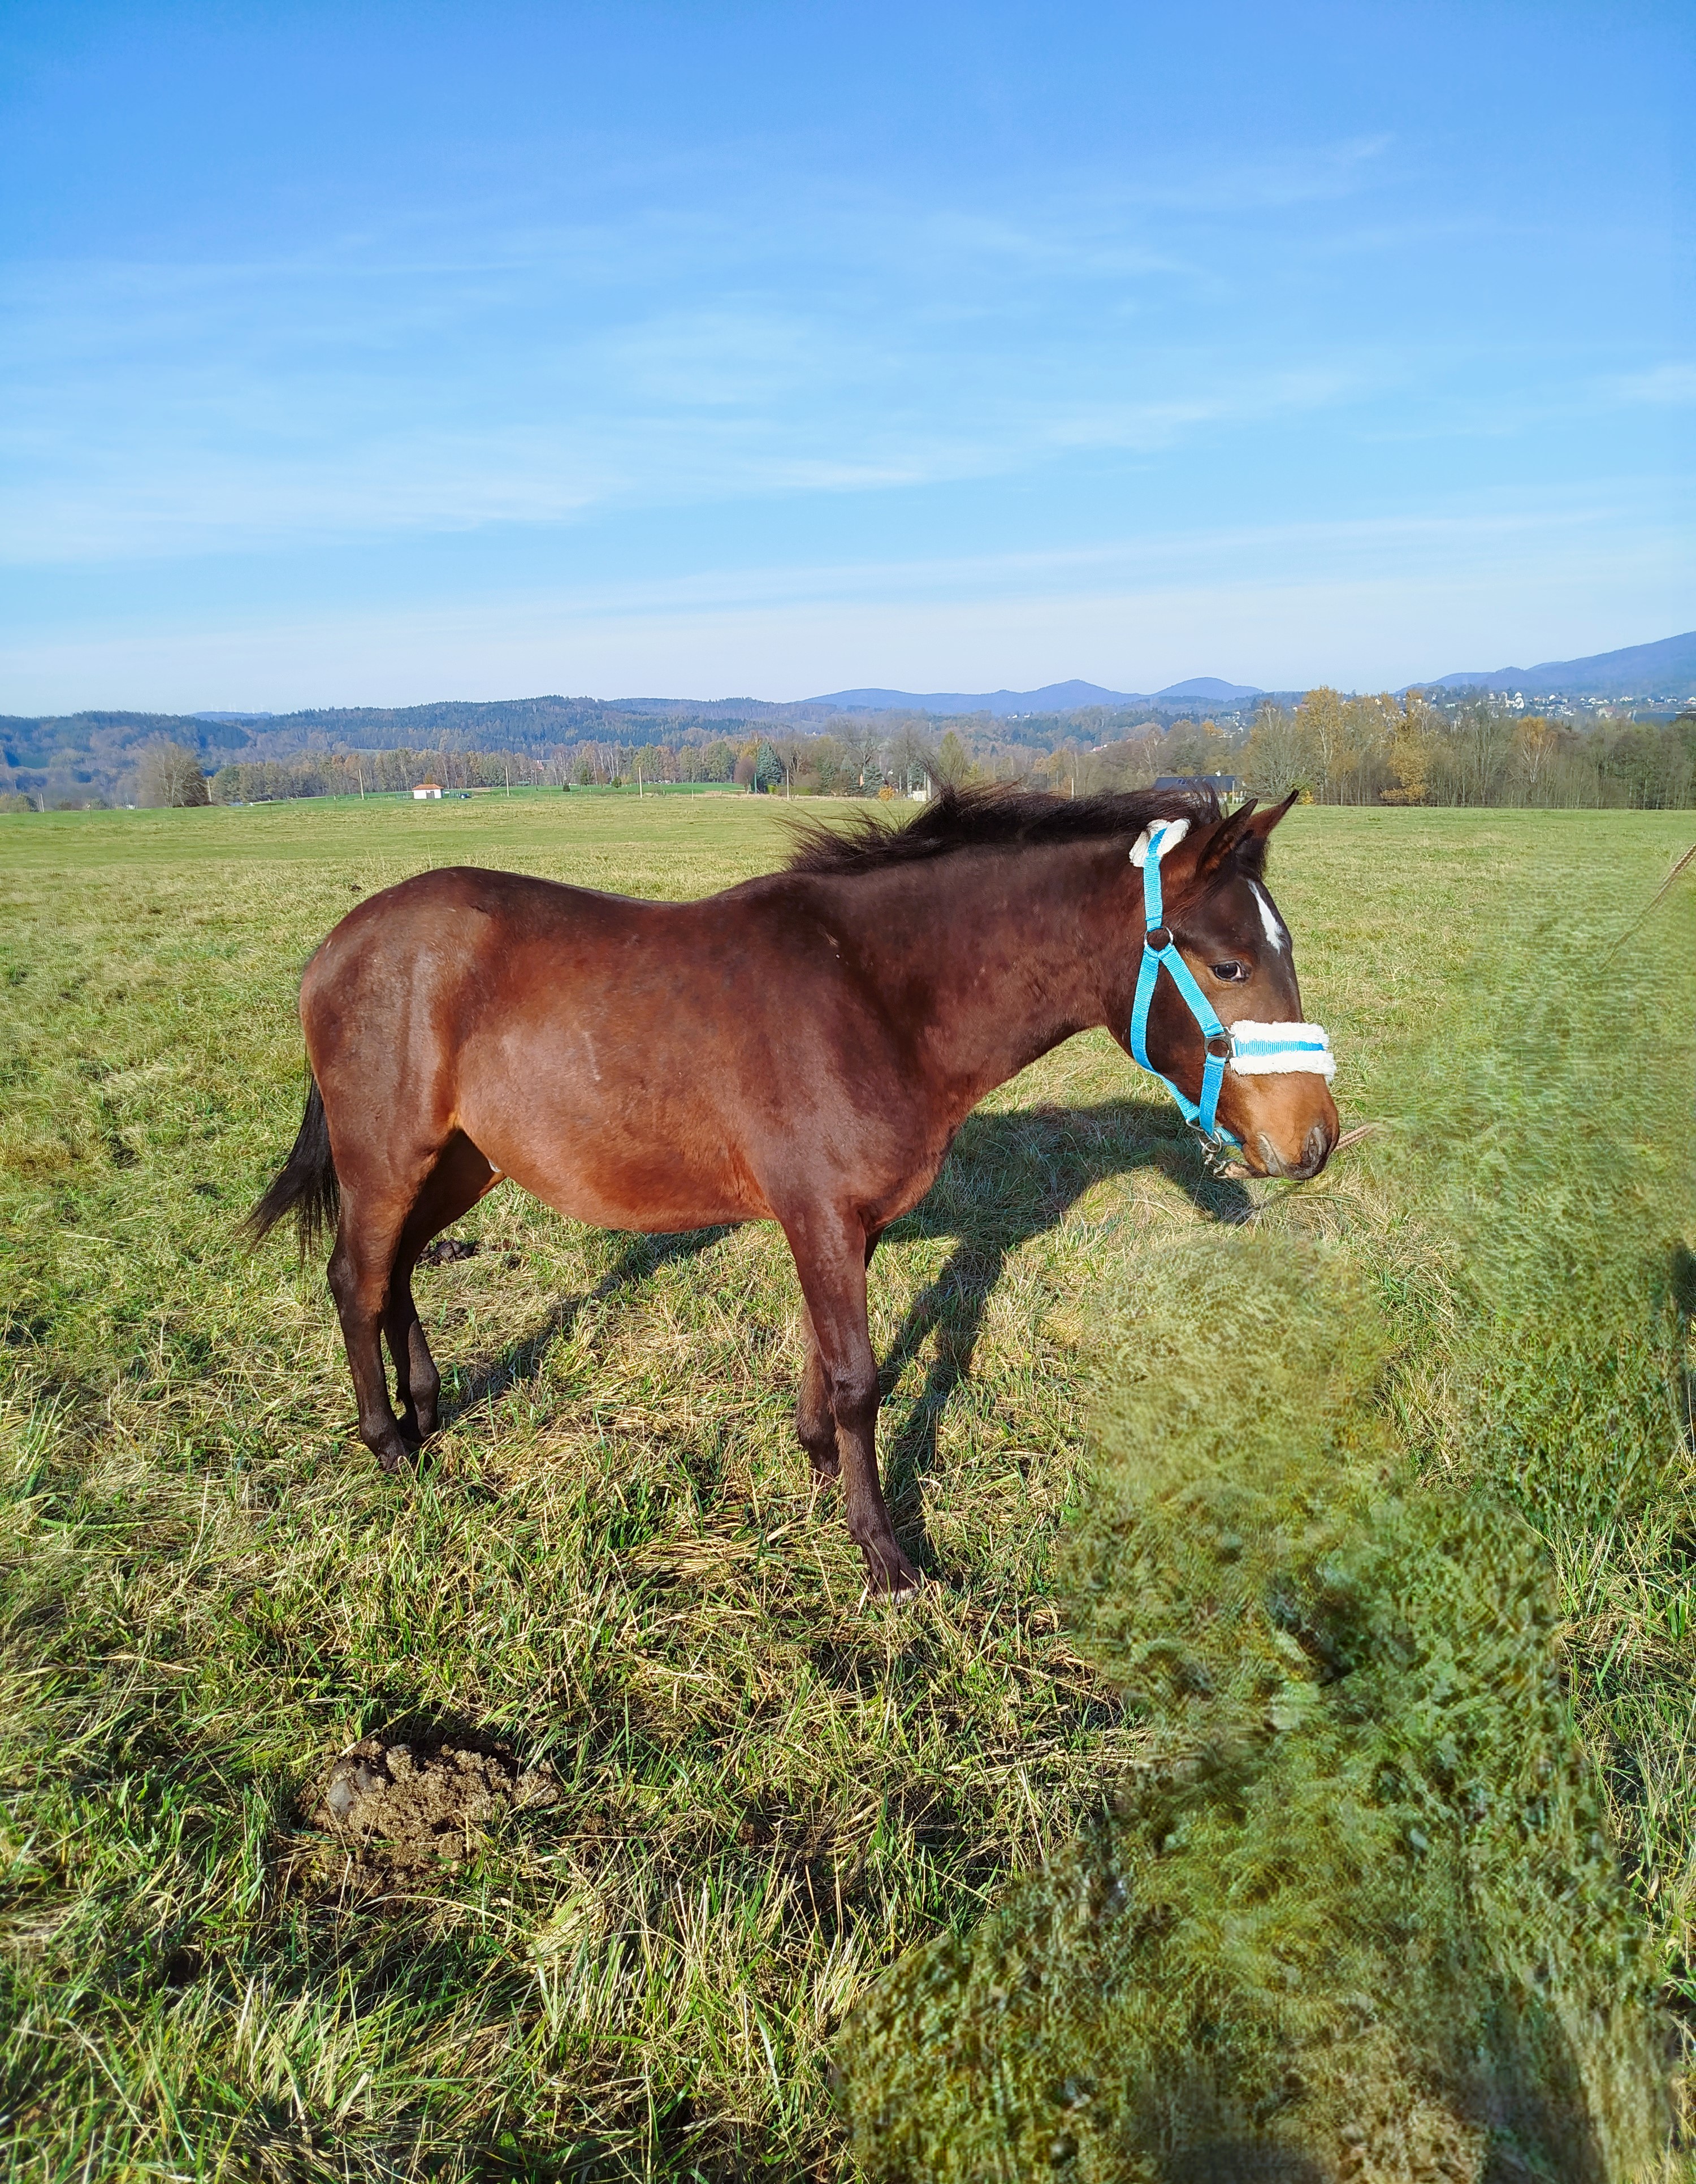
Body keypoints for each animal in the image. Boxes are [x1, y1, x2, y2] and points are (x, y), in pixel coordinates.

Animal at [251, 781, 1335, 1590]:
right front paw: (883, 1551)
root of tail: (338, 944)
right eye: (1230, 964)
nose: (1316, 1142)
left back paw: (427, 1408)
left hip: (461, 1158)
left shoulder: (847, 1220)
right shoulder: (818, 1212)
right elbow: (859, 1376)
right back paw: (390, 1444)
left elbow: (832, 1358)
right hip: (387, 1155)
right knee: (357, 1278)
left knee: (398, 1268)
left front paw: (816, 1459)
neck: (873, 994)